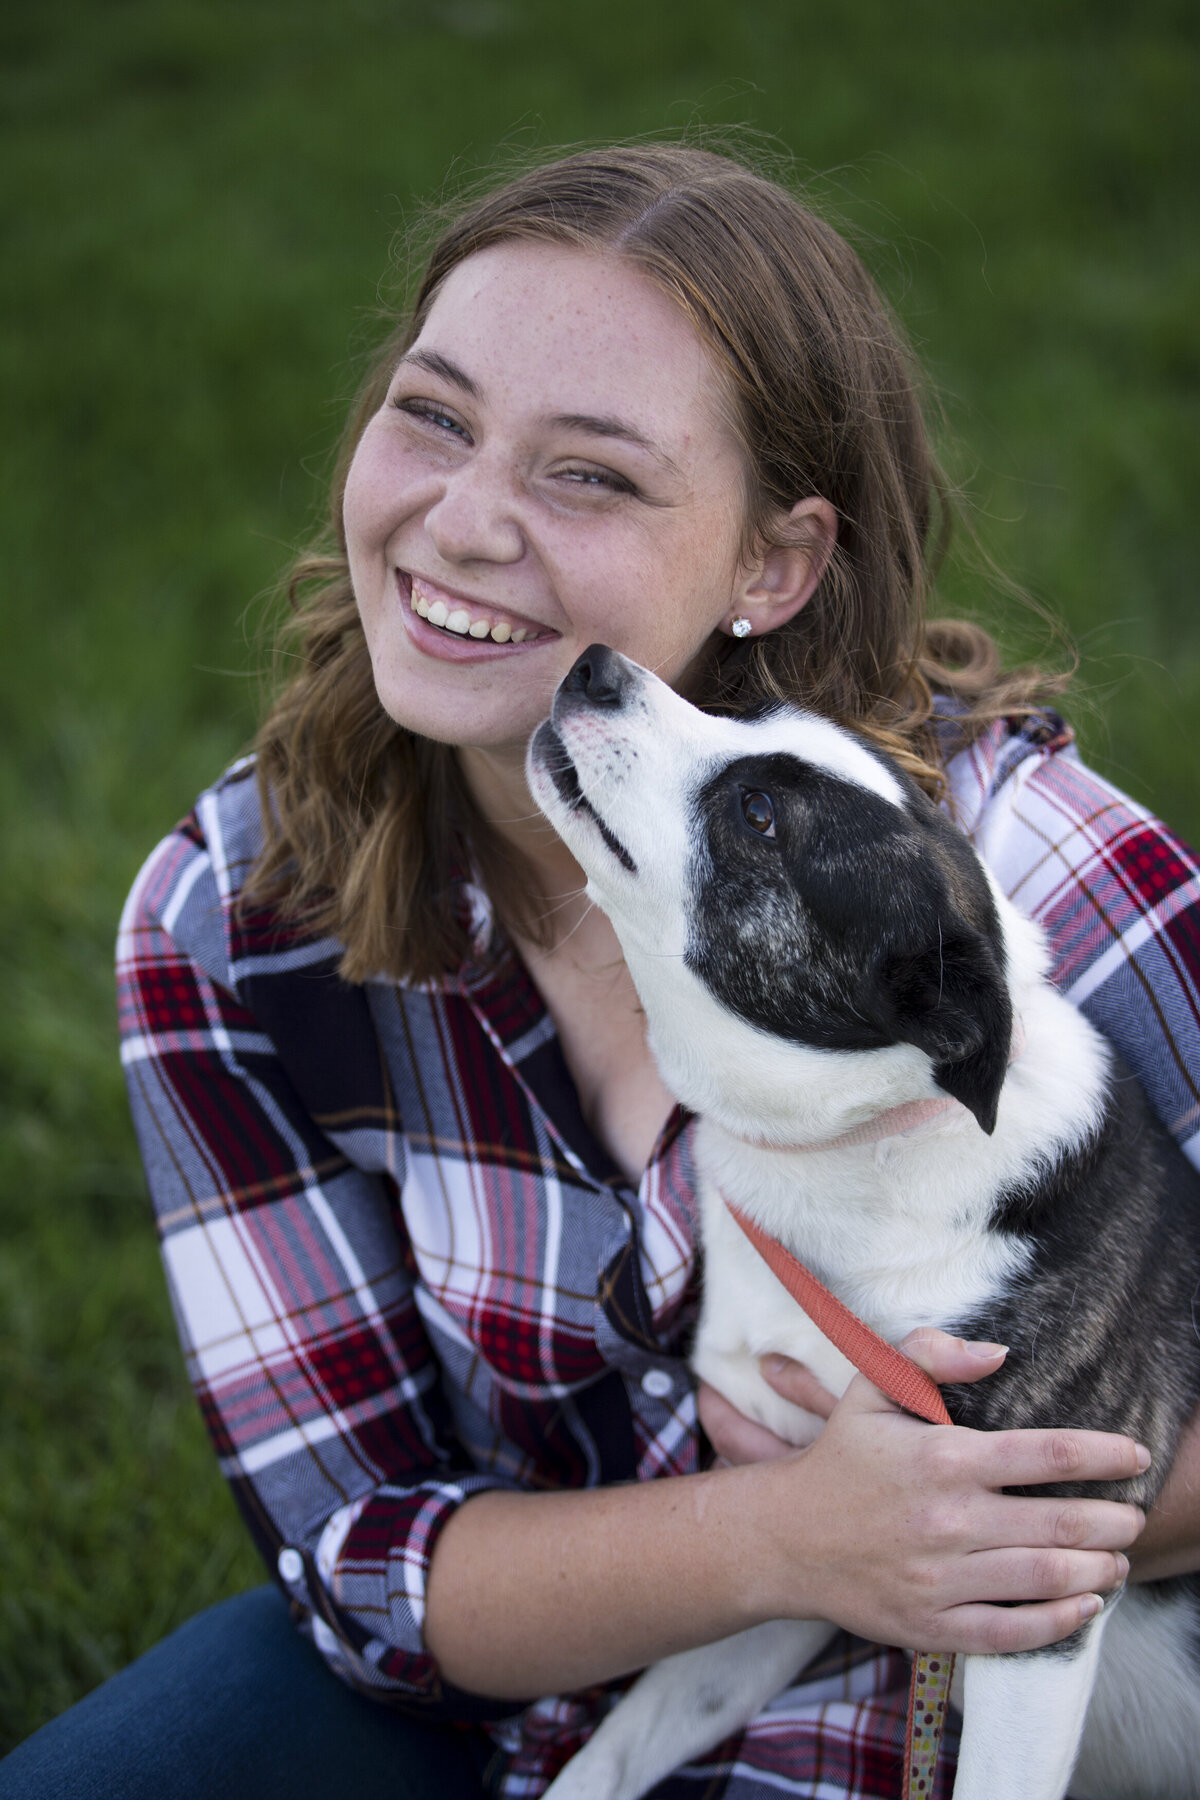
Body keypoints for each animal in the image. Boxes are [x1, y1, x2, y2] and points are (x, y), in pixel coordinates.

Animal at [532, 648, 1200, 1800]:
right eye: (741, 707)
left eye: (757, 816)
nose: (595, 664)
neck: (866, 1146)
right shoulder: (802, 1544)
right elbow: (608, 1760)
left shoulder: (1036, 1594)